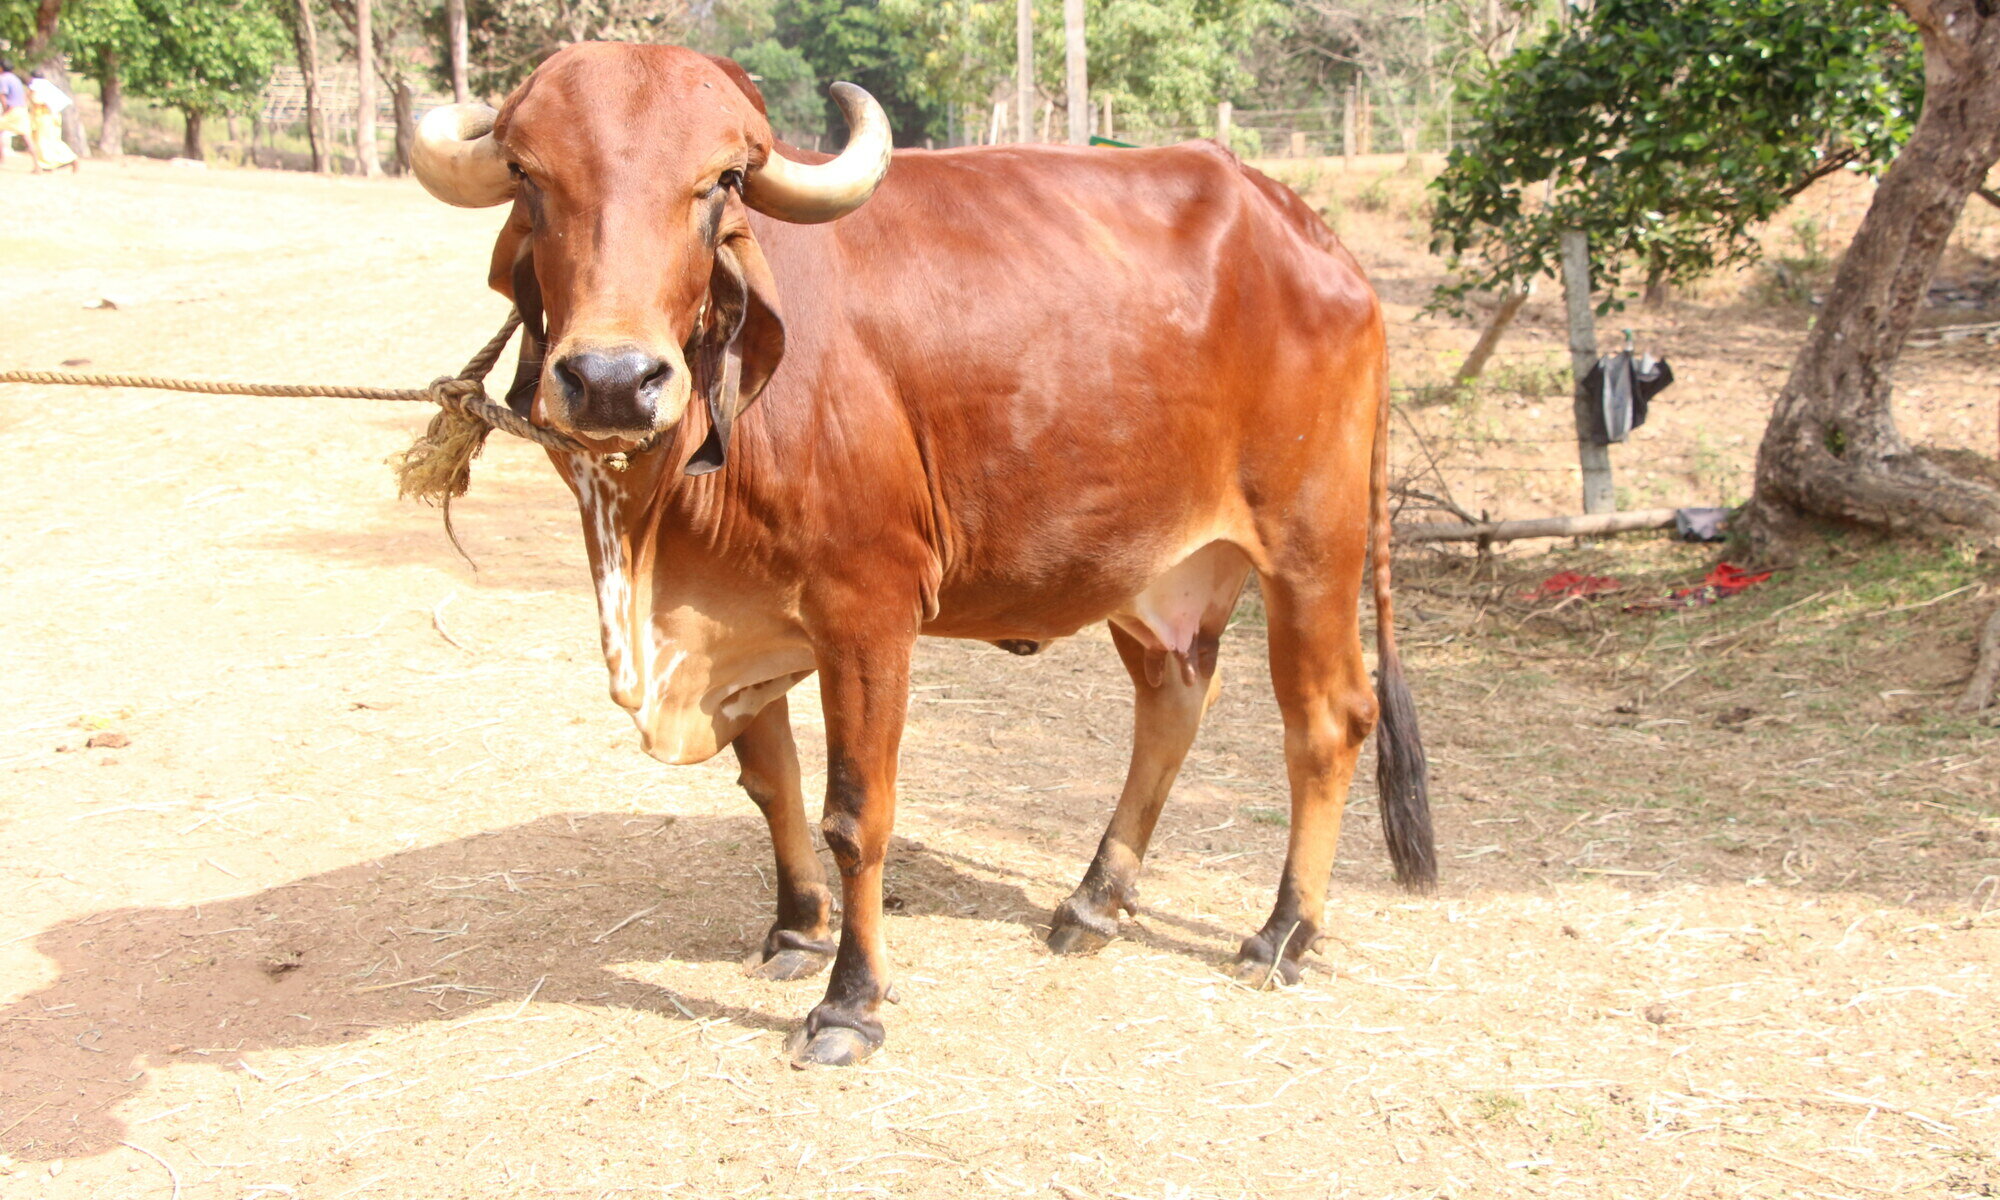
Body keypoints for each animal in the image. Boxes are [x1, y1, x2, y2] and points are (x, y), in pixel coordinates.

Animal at [408, 42, 1433, 1066]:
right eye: (528, 176)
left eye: (719, 183)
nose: (614, 381)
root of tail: (1314, 237)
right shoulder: (740, 617)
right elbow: (771, 783)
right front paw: (795, 930)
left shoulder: (868, 612)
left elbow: (856, 815)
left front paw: (850, 1002)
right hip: (1155, 573)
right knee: (1174, 704)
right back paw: (1093, 903)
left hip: (1311, 549)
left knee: (1328, 721)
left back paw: (1283, 933)